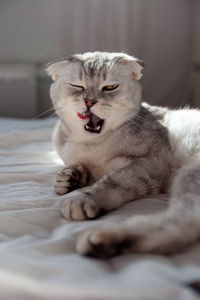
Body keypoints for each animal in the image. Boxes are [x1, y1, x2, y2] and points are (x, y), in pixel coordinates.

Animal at [46, 51, 200, 258]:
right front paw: (69, 178)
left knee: (183, 221)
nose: (90, 101)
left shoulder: (152, 164)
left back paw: (104, 238)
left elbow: (111, 181)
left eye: (110, 87)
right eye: (77, 86)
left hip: (189, 174)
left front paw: (84, 198)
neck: (91, 144)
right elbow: (77, 171)